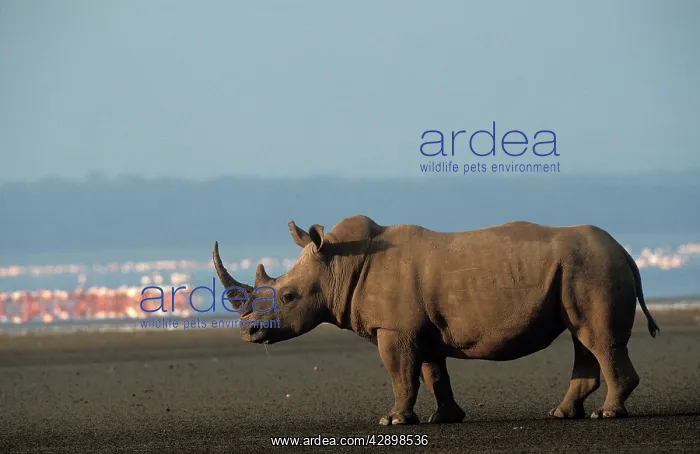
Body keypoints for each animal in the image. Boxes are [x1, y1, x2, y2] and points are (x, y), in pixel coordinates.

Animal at [213, 215, 660, 425]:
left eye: (288, 297)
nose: (249, 332)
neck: (338, 264)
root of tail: (627, 252)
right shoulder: (418, 329)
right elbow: (432, 374)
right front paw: (444, 418)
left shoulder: (394, 329)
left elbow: (401, 374)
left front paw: (392, 419)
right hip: (581, 269)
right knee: (582, 337)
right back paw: (561, 414)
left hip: (594, 268)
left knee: (597, 339)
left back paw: (607, 414)